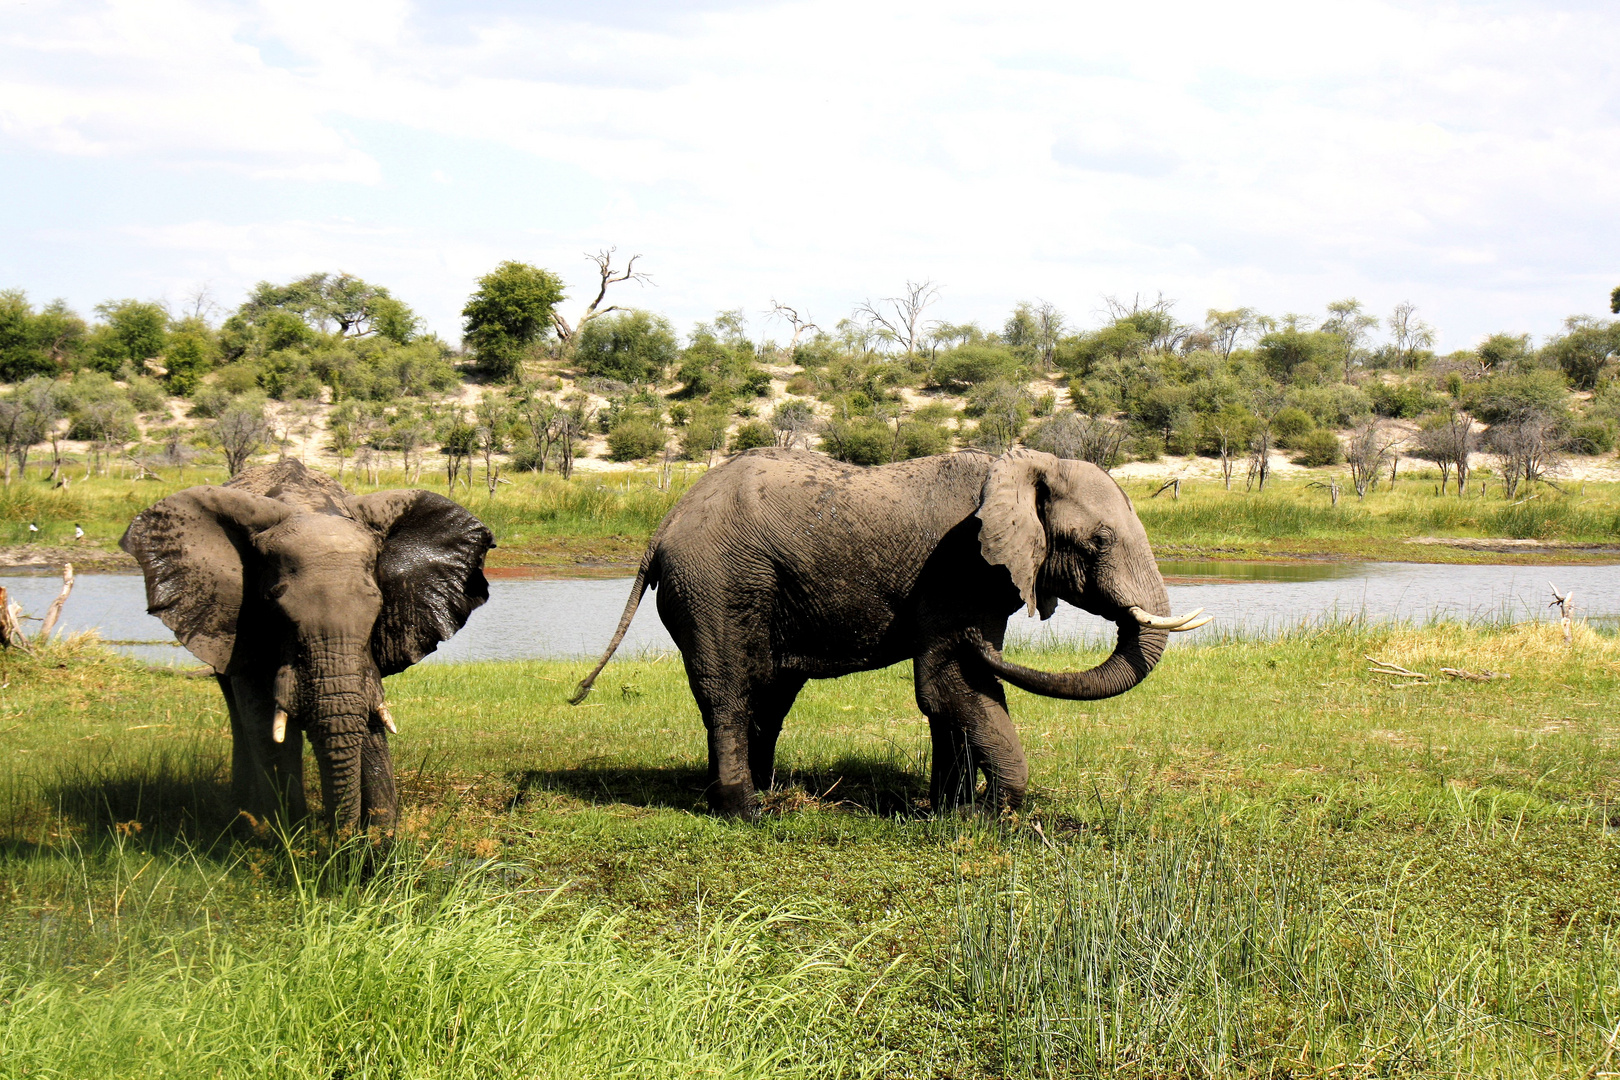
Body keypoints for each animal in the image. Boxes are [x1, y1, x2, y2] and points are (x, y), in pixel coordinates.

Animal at [121, 459, 492, 835]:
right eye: (274, 607)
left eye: (377, 606)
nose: (341, 836)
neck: (309, 507)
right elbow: (265, 722)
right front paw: (289, 834)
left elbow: (367, 710)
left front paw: (378, 838)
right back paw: (245, 813)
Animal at [576, 446, 1211, 819]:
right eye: (1099, 541)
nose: (979, 642)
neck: (1017, 465)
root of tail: (662, 528)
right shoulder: (957, 572)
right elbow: (950, 684)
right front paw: (993, 816)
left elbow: (954, 692)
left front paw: (953, 815)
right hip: (715, 582)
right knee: (729, 690)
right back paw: (744, 812)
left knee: (769, 694)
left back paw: (759, 795)